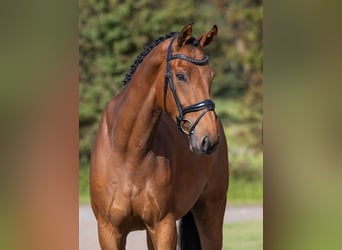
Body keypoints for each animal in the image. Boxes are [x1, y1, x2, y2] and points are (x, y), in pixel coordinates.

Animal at [90, 23, 230, 248]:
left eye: (211, 76)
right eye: (181, 76)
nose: (208, 139)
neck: (127, 150)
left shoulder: (164, 226)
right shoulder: (109, 230)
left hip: (211, 214)